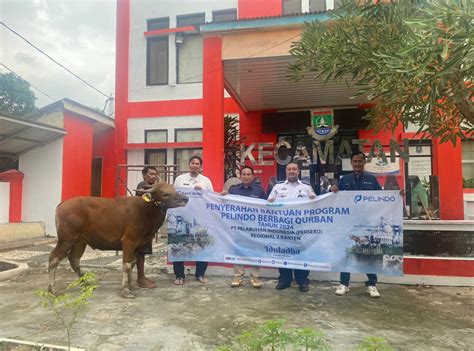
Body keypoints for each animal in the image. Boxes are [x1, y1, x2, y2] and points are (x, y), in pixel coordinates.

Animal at [48, 182, 188, 300]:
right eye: (165, 193)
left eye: (174, 189)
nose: (185, 198)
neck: (145, 210)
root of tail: (61, 205)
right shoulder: (128, 242)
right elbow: (126, 265)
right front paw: (126, 291)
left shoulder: (137, 246)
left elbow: (133, 264)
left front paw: (131, 285)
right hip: (66, 239)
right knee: (54, 258)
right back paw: (53, 290)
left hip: (80, 241)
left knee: (74, 259)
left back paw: (86, 283)